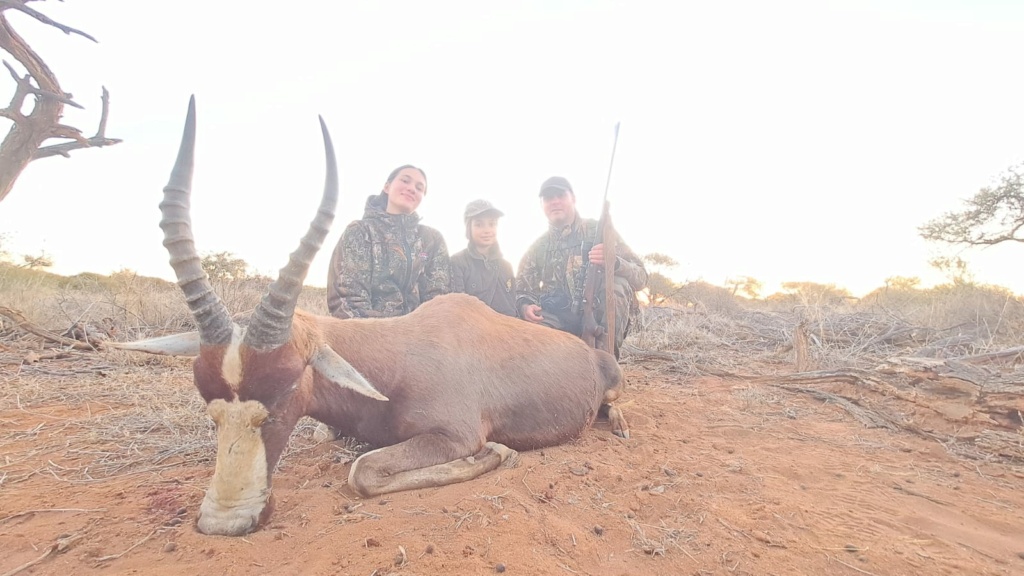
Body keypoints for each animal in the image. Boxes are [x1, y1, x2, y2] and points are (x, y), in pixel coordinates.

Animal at [117, 97, 630, 532]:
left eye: (285, 391)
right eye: (210, 405)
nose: (226, 521)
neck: (396, 357)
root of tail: (592, 354)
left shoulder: (455, 434)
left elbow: (362, 471)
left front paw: (498, 454)